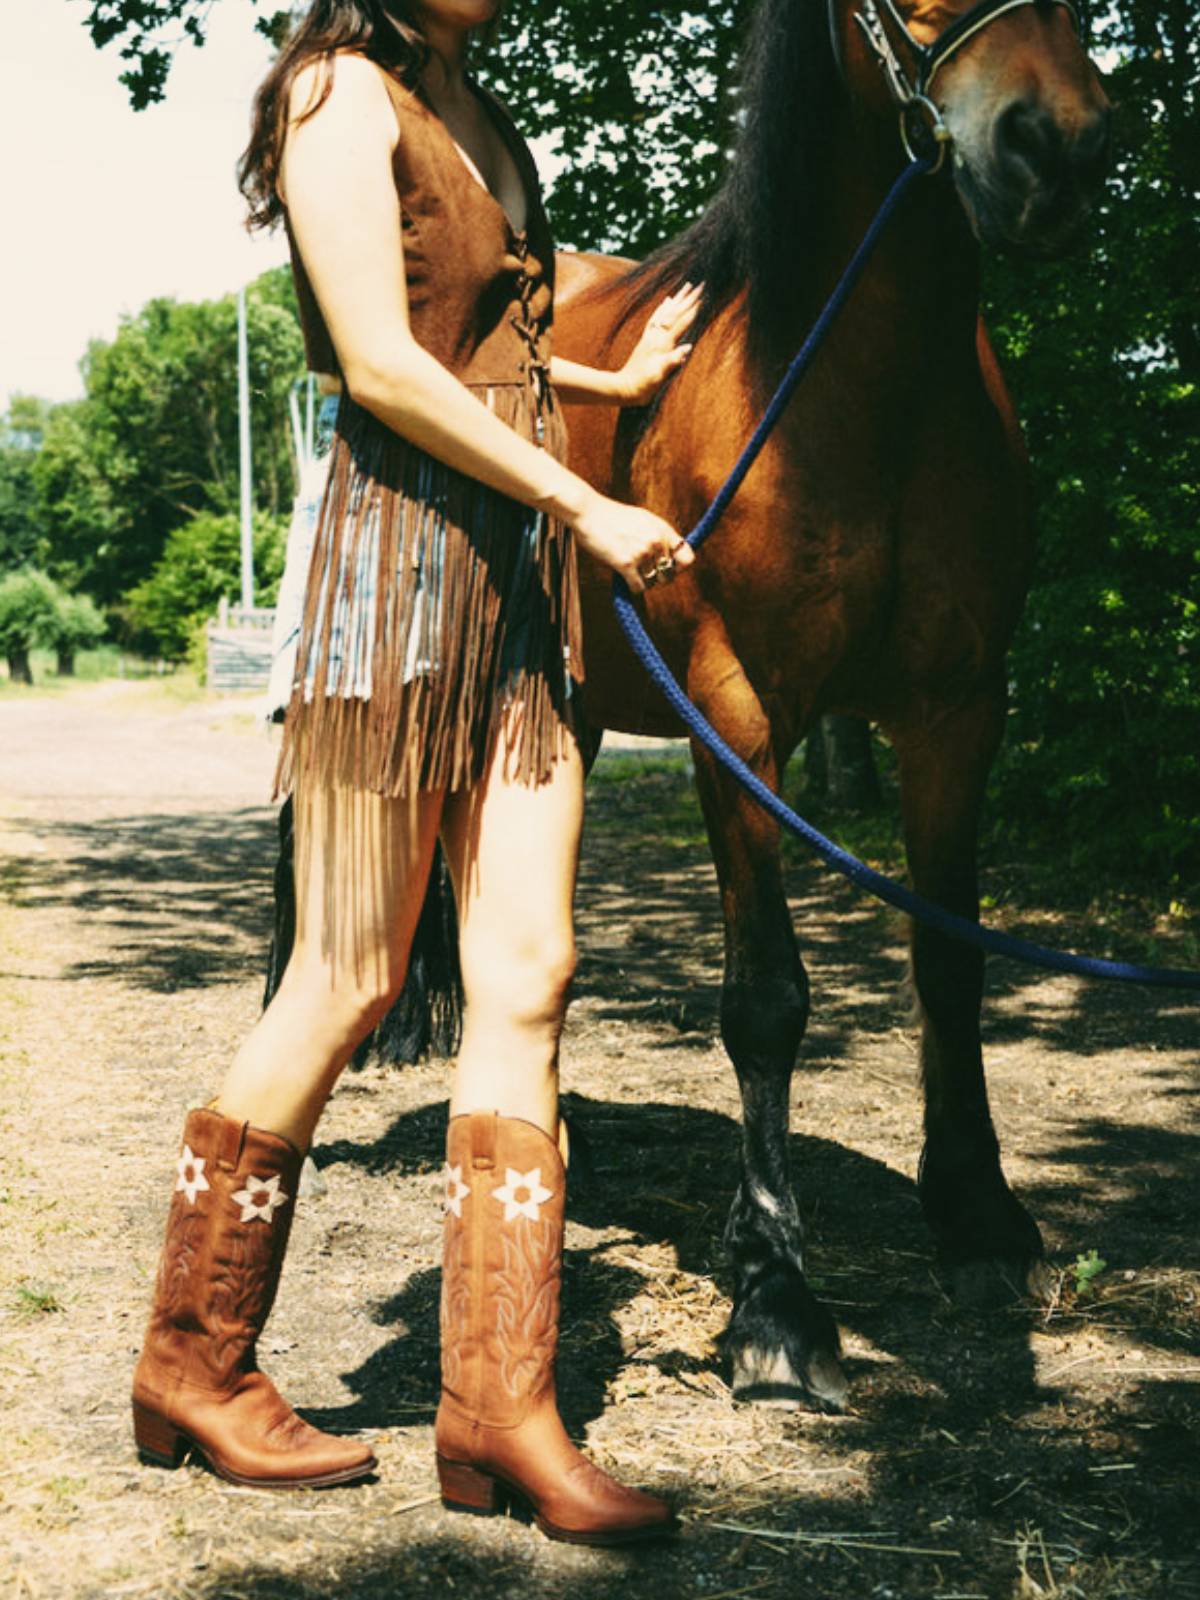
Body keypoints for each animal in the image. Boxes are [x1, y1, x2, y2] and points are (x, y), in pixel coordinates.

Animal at [550, 0, 1113, 1408]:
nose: (1059, 148)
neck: (858, 389)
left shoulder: (960, 708)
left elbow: (950, 961)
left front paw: (978, 1219)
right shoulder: (738, 716)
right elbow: (767, 999)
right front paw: (774, 1297)